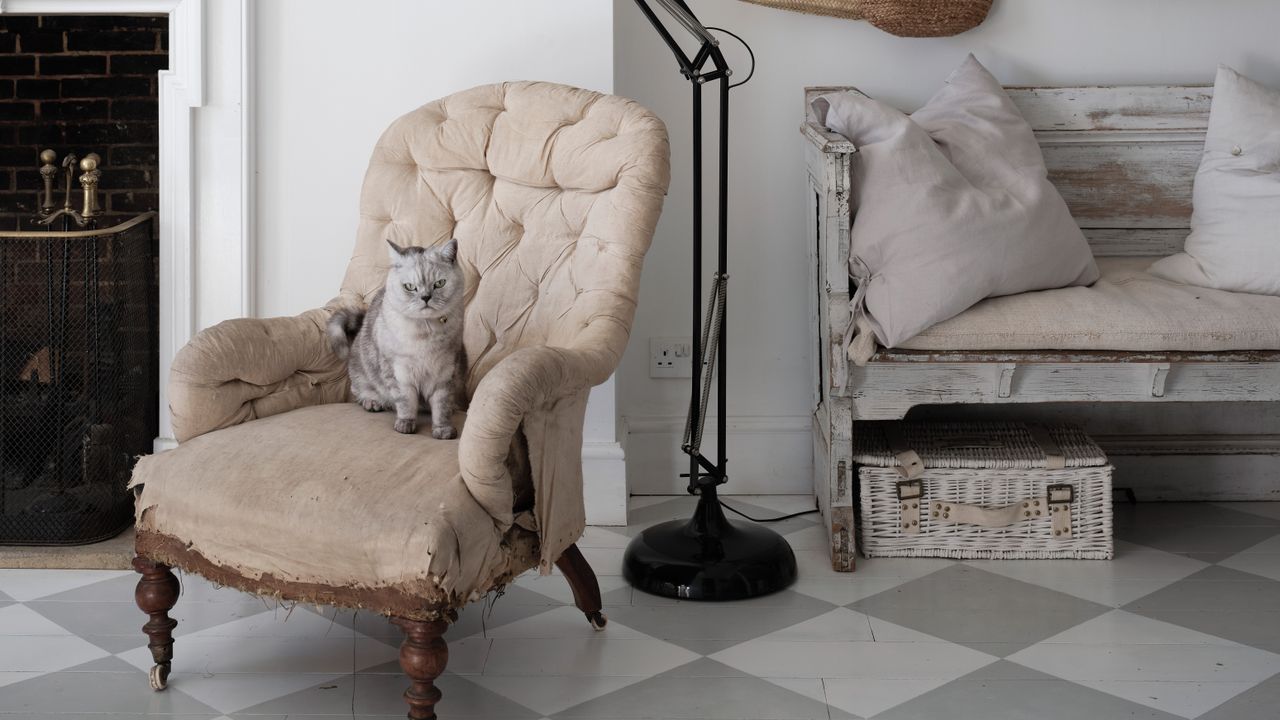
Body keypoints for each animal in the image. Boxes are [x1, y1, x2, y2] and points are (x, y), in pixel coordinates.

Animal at [327, 238, 468, 435]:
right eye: (410, 287)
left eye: (439, 283)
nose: (425, 297)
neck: (425, 332)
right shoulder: (399, 372)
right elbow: (406, 402)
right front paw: (405, 425)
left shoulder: (446, 372)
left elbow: (442, 406)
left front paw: (443, 430)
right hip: (362, 373)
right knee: (361, 391)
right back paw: (373, 402)